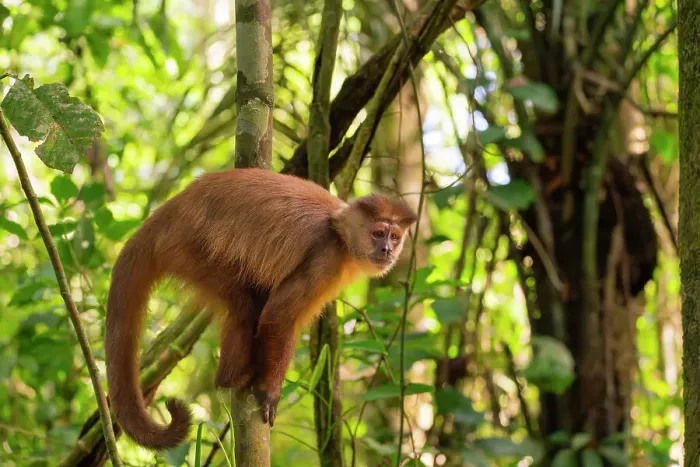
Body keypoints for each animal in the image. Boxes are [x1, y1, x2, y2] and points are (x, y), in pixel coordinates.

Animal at [105, 167, 417, 450]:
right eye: (378, 233)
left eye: (394, 237)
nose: (387, 250)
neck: (340, 235)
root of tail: (168, 211)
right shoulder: (325, 259)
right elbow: (278, 318)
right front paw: (270, 391)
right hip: (190, 249)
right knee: (244, 303)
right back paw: (231, 377)